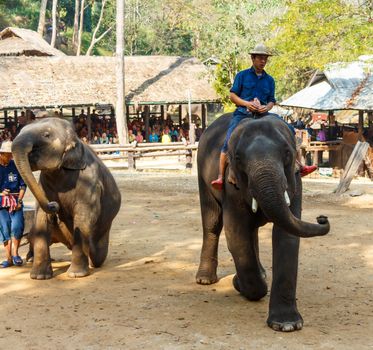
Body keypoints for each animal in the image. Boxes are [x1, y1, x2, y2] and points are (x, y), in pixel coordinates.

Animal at [12, 117, 120, 278]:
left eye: (46, 135)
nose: (55, 204)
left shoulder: (90, 183)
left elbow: (84, 216)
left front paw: (76, 275)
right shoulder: (43, 185)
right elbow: (41, 217)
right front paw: (39, 277)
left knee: (98, 256)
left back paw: (91, 263)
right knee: (32, 234)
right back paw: (30, 258)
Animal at [195, 113, 328, 332]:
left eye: (287, 153)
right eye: (238, 158)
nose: (322, 218)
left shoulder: (295, 180)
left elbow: (287, 236)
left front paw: (287, 324)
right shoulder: (232, 184)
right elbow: (236, 233)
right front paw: (239, 283)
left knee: (252, 230)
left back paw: (263, 273)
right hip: (203, 174)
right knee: (212, 222)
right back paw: (205, 279)